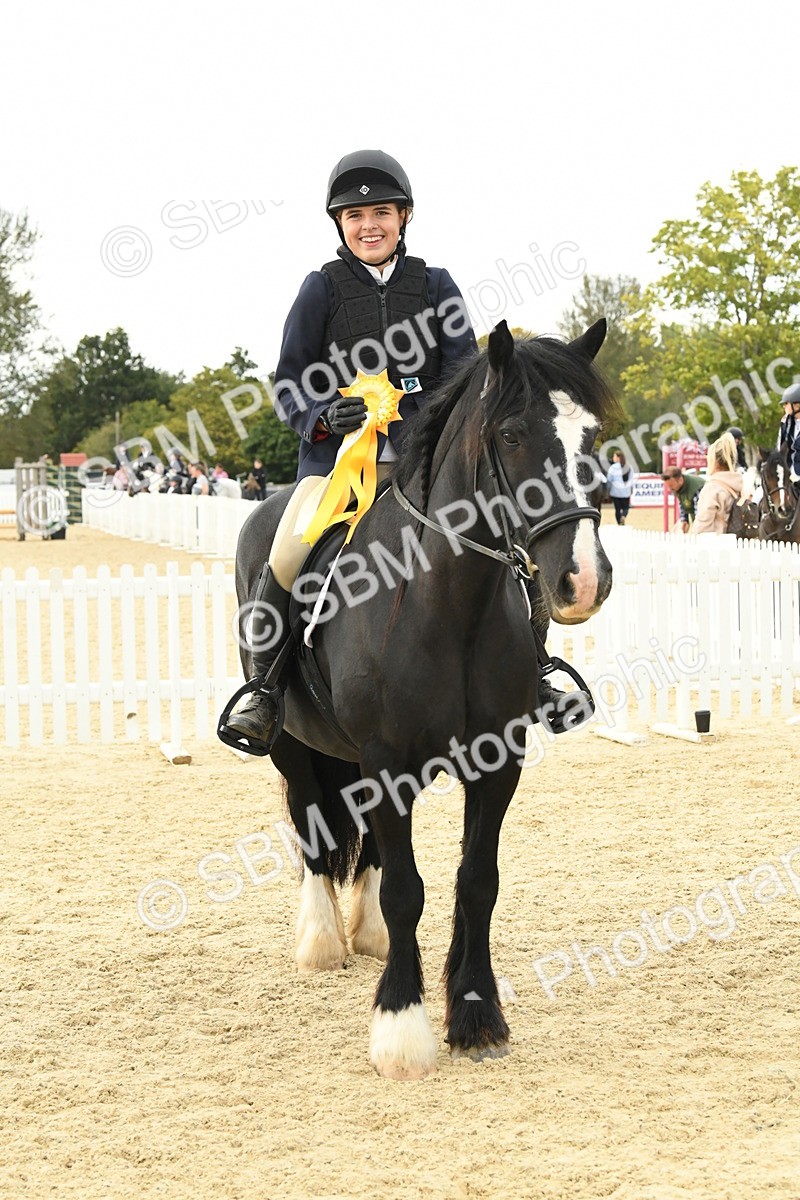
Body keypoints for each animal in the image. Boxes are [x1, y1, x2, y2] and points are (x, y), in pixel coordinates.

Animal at [231, 318, 617, 1079]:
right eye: (512, 435)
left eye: (592, 434)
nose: (583, 580)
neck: (448, 601)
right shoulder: (387, 761)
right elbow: (409, 889)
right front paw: (401, 1030)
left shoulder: (497, 764)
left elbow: (477, 880)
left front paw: (476, 1015)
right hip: (292, 743)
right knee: (314, 829)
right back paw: (322, 940)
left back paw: (368, 934)